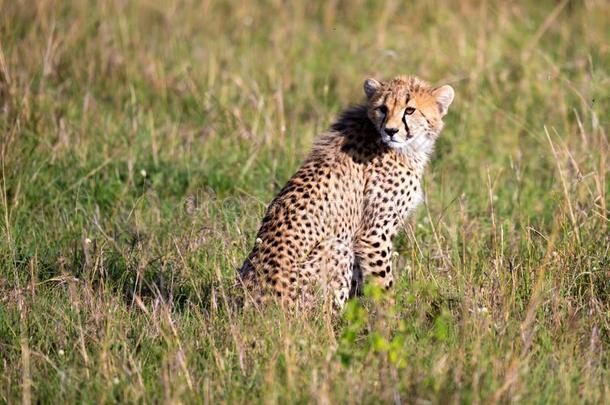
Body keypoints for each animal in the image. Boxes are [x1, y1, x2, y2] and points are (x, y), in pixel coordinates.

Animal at [236, 75, 452, 310]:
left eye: (410, 110)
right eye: (383, 108)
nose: (391, 131)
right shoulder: (372, 234)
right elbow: (383, 283)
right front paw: (391, 315)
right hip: (336, 247)